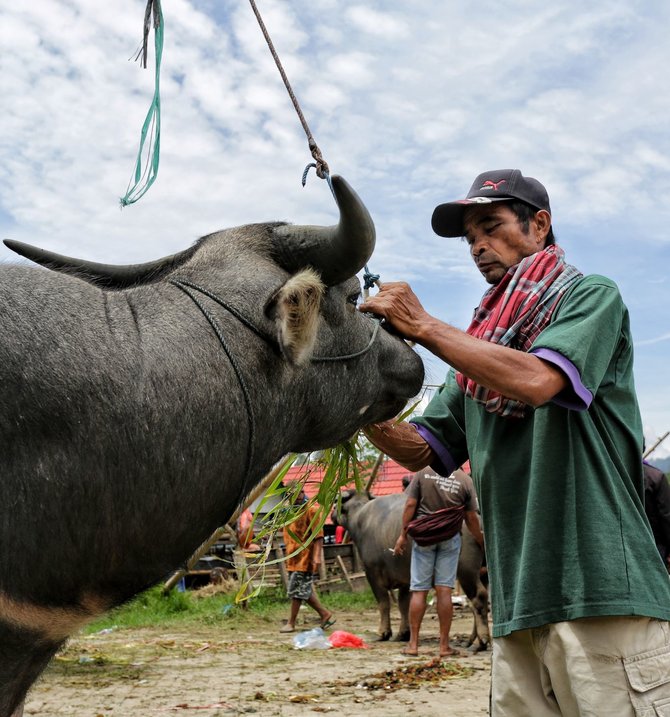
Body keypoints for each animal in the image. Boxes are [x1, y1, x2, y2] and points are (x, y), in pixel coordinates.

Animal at [334, 486, 488, 648]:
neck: (360, 517)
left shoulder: (372, 572)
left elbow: (383, 603)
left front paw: (383, 633)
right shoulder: (406, 577)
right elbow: (404, 605)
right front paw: (404, 633)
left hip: (466, 571)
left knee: (478, 597)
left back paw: (482, 640)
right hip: (484, 572)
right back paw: (472, 639)